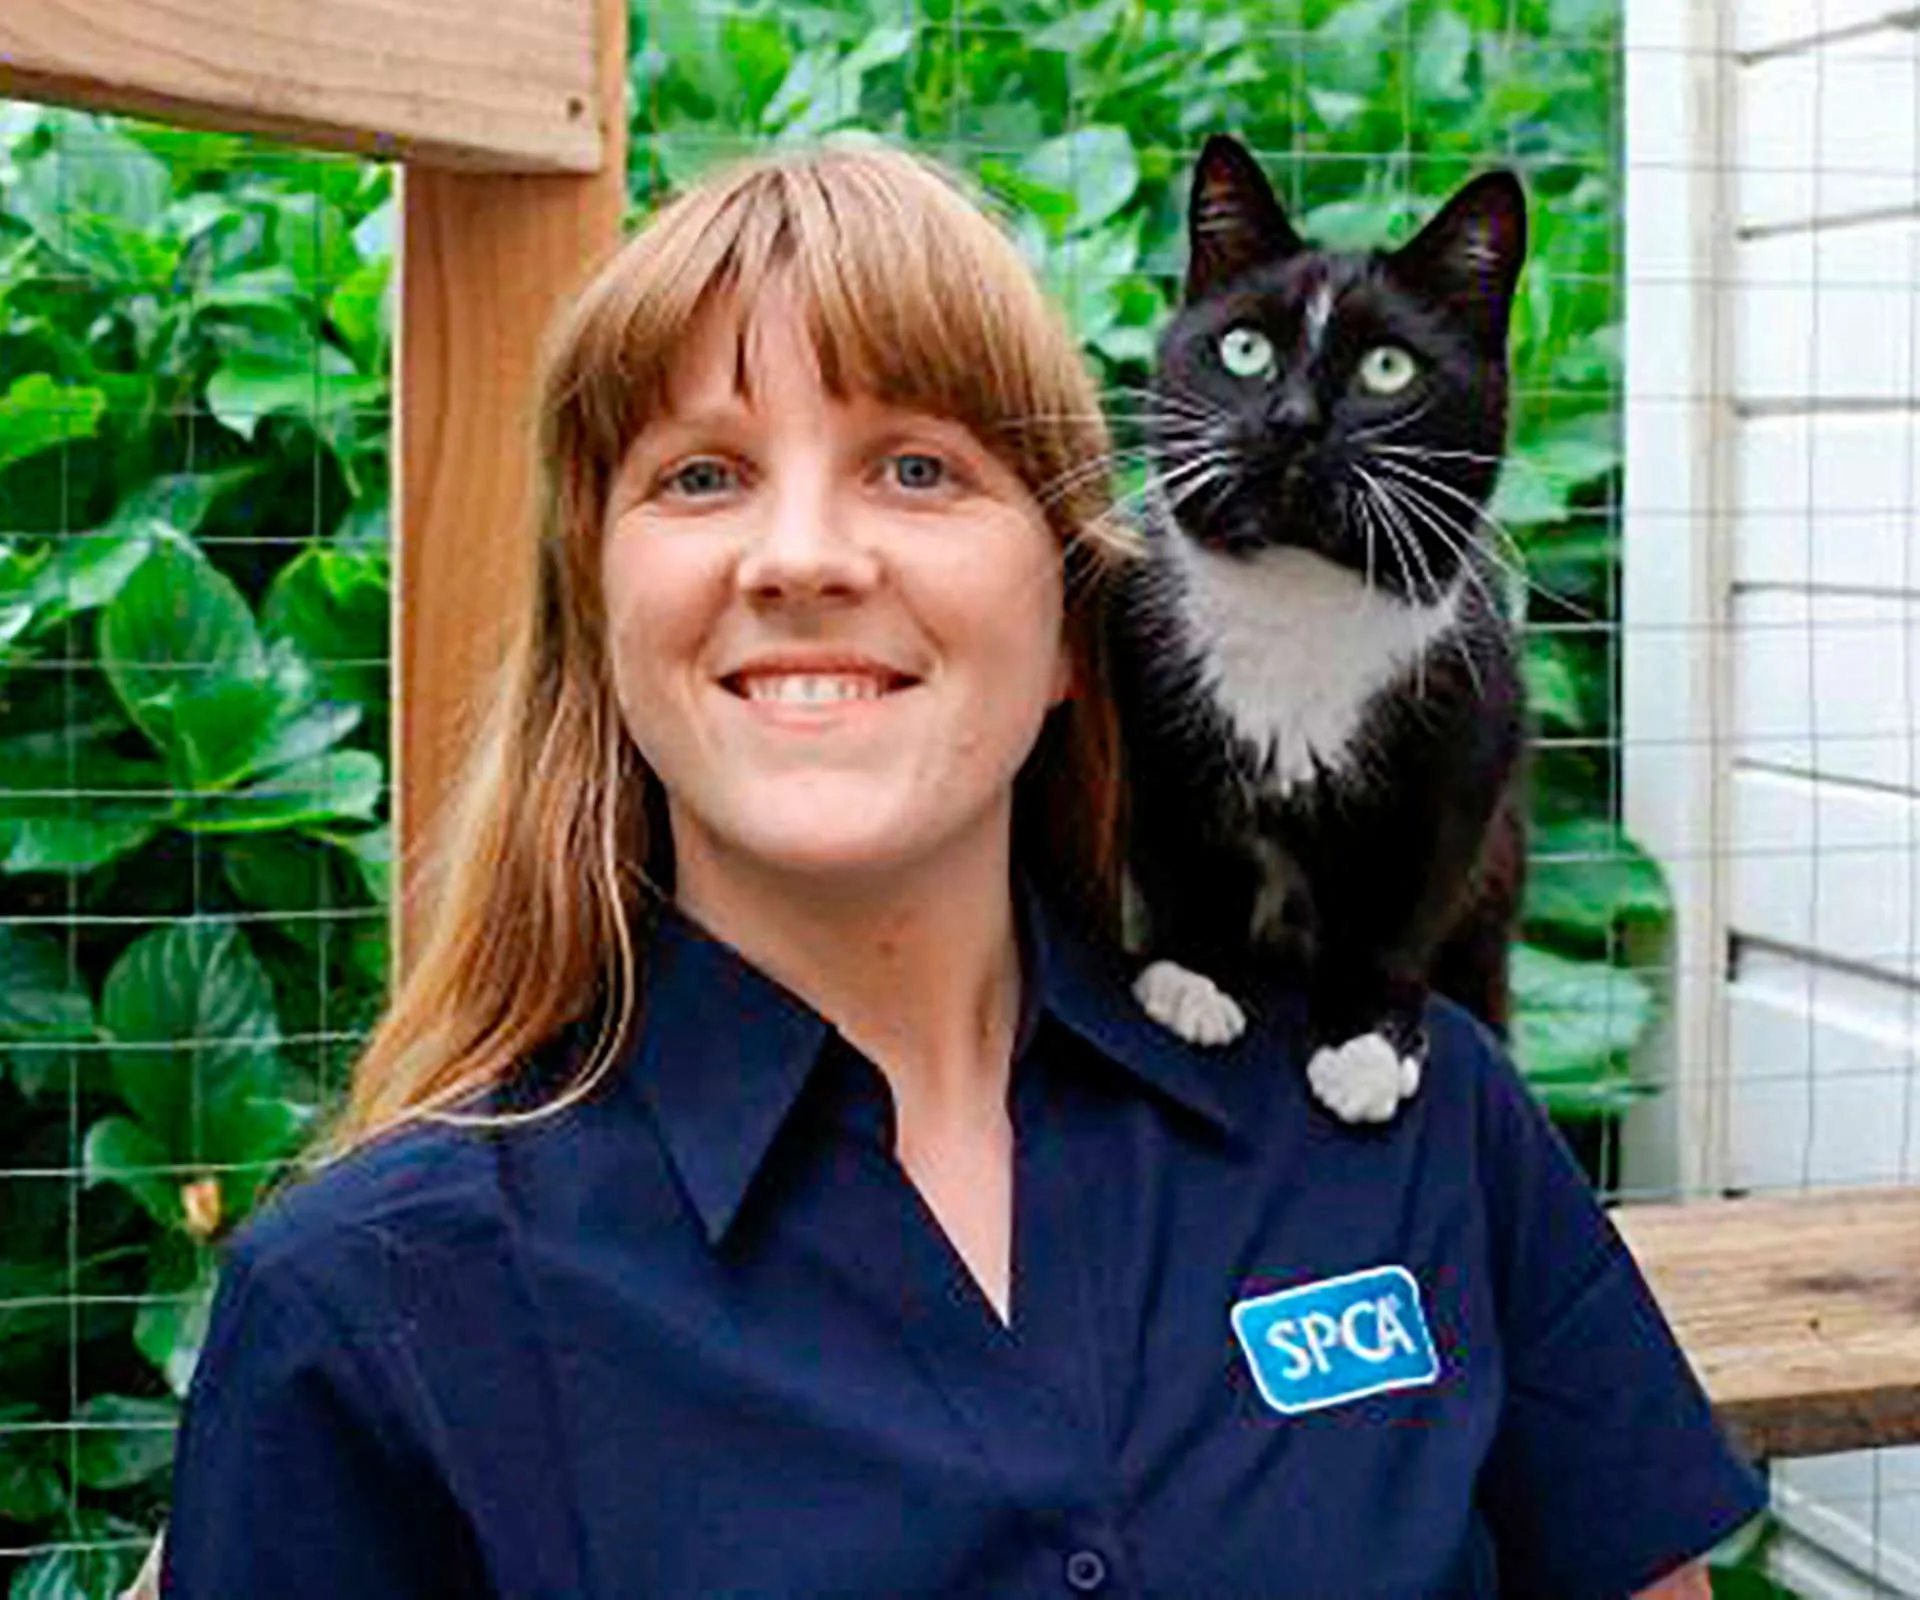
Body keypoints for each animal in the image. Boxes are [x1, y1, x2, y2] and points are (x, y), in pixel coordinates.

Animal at [1113, 134, 1528, 1121]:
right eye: (1244, 349)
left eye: (1388, 369)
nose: (1293, 419)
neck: (1299, 604)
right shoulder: (1154, 712)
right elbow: (1183, 857)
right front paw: (1192, 978)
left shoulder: (1467, 748)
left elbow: (1401, 912)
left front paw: (1366, 1047)